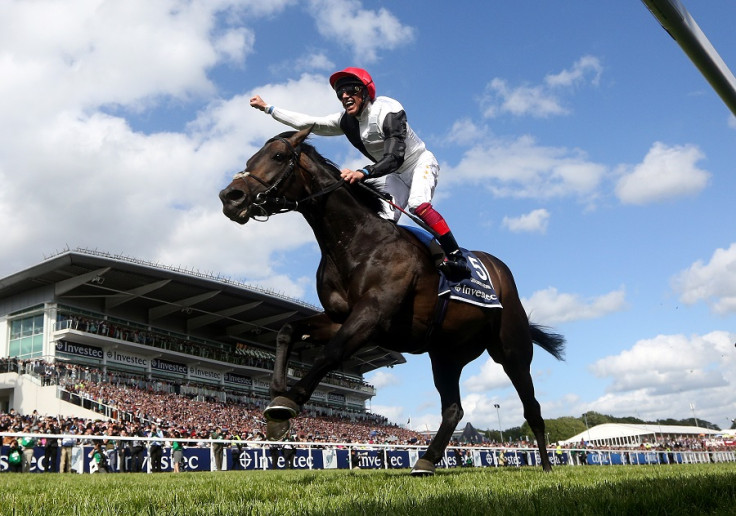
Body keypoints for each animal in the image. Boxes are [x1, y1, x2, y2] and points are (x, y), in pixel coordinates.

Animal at [218, 127, 564, 474]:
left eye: (278, 156)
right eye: (250, 160)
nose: (230, 197)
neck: (356, 240)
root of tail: (499, 269)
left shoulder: (373, 314)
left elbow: (332, 352)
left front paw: (288, 402)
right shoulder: (340, 317)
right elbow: (287, 329)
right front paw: (277, 397)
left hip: (511, 349)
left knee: (532, 407)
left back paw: (547, 467)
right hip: (446, 354)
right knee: (453, 408)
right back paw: (426, 460)